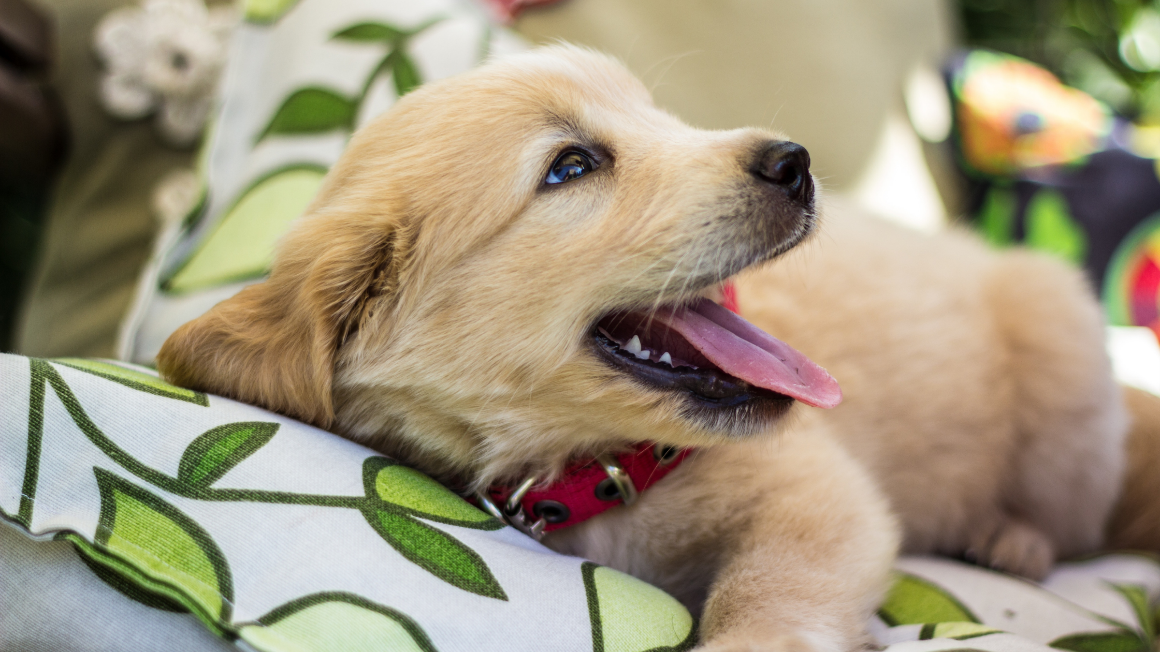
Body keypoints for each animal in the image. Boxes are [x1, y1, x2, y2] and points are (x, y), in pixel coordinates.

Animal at [158, 44, 1127, 645]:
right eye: (570, 167)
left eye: (659, 116)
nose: (796, 162)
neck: (601, 472)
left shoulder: (818, 492)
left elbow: (773, 582)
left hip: (1066, 376)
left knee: (1075, 519)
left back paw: (1012, 539)